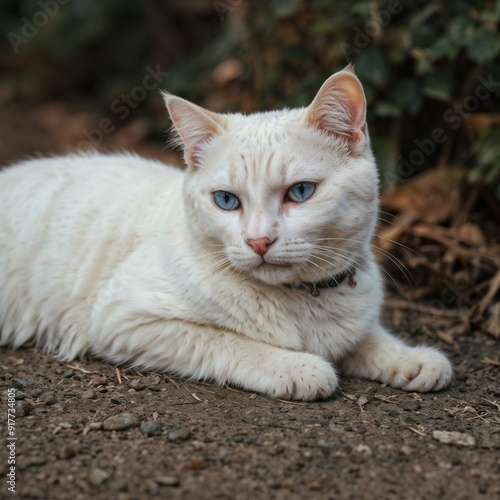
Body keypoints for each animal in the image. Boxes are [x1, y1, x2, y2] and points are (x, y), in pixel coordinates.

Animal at [0, 68, 454, 400]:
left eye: (300, 192)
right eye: (226, 201)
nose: (259, 241)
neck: (304, 300)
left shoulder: (353, 322)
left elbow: (370, 339)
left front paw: (411, 358)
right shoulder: (125, 319)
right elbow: (233, 343)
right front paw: (296, 365)